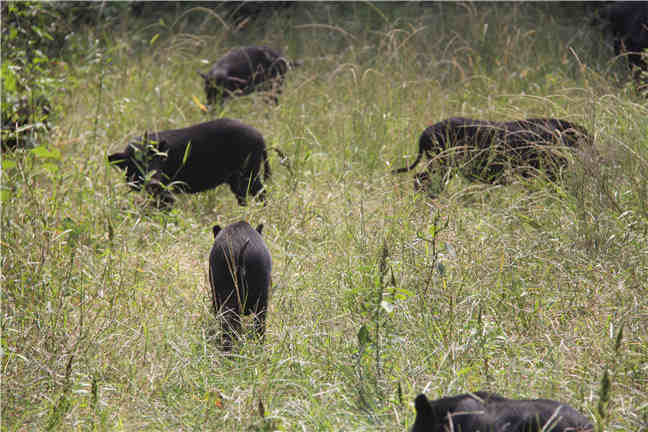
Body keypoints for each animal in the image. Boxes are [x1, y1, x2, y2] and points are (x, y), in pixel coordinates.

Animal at [108, 117, 268, 207]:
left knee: (258, 193)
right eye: (136, 163)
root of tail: (260, 137)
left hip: (249, 173)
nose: (154, 183)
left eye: (158, 159)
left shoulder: (166, 189)